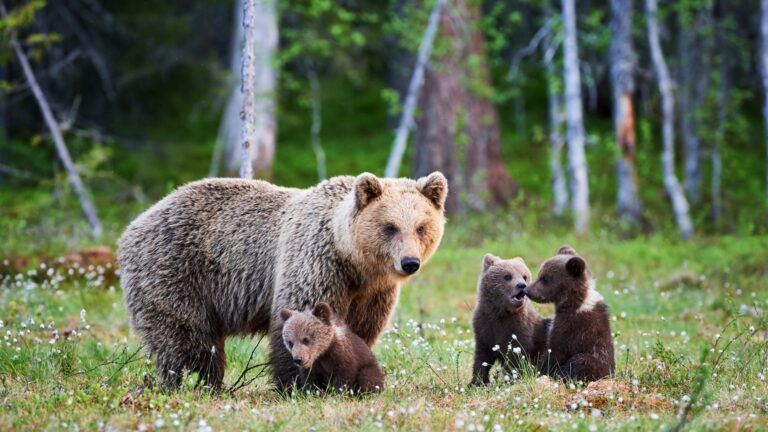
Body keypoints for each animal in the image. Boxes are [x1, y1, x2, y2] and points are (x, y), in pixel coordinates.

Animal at [117, 172, 447, 390]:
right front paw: (301, 385)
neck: (353, 260)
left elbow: (359, 331)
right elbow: (298, 319)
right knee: (186, 337)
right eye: (390, 227)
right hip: (176, 271)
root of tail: (135, 223)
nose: (409, 262)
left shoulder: (372, 293)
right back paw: (196, 382)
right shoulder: (316, 262)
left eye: (421, 226)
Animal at [470, 254, 550, 386]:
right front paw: (477, 381)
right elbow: (482, 356)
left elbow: (516, 357)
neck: (501, 313)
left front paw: (506, 379)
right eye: (507, 276)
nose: (522, 285)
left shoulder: (520, 328)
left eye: (524, 276)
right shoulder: (484, 327)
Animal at [524, 246, 615, 382]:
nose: (527, 290)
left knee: (580, 361)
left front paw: (536, 371)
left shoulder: (572, 328)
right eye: (540, 274)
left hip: (591, 361)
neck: (575, 304)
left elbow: (555, 352)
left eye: (546, 278)